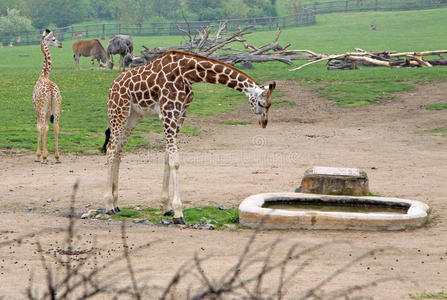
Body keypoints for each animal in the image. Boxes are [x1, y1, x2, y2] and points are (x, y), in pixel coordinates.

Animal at [102, 49, 276, 223]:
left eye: (270, 104)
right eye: (261, 103)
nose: (264, 123)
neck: (188, 73)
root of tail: (112, 87)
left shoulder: (180, 115)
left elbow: (167, 158)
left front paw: (167, 207)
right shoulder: (168, 114)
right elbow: (175, 162)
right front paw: (178, 213)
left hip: (133, 115)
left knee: (118, 151)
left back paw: (116, 204)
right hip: (119, 110)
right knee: (111, 149)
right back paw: (109, 205)